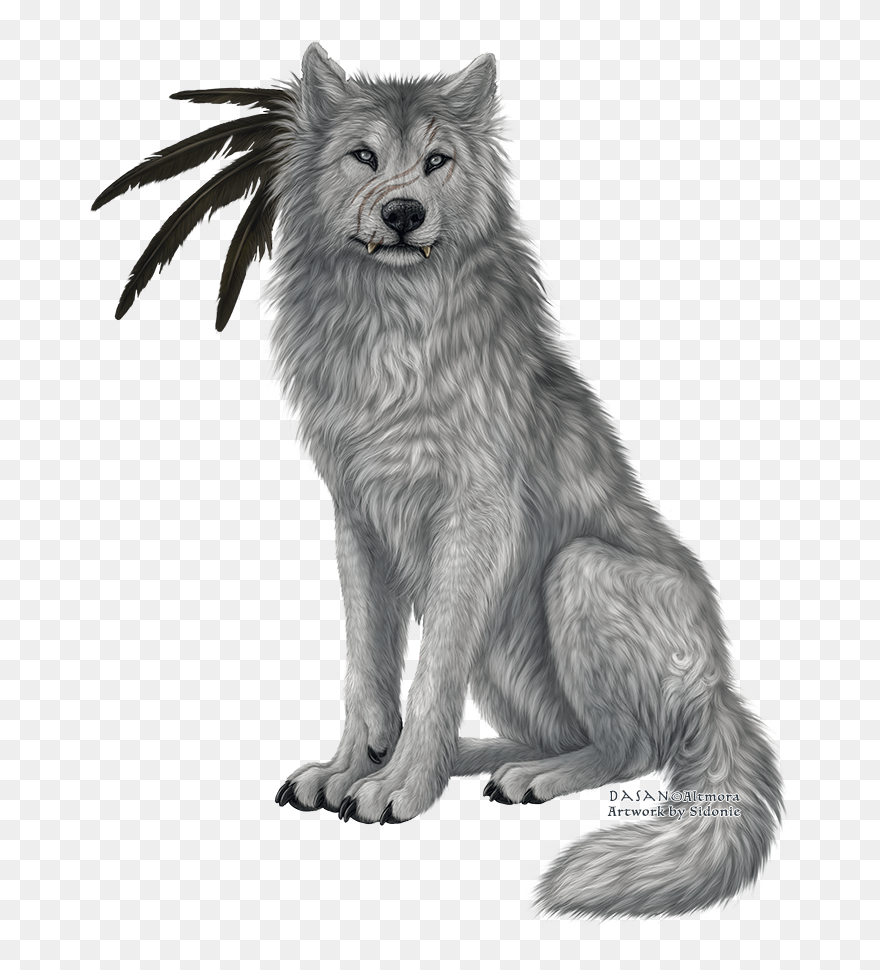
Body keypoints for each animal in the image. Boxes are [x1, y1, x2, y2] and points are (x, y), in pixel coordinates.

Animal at [93, 43, 783, 918]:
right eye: (363, 156)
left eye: (436, 162)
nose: (402, 213)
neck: (393, 331)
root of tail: (722, 691)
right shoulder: (357, 520)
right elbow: (368, 670)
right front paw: (352, 768)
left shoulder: (472, 522)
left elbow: (428, 679)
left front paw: (401, 788)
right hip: (510, 648)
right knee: (563, 730)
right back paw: (474, 756)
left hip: (579, 571)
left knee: (629, 746)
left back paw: (523, 774)